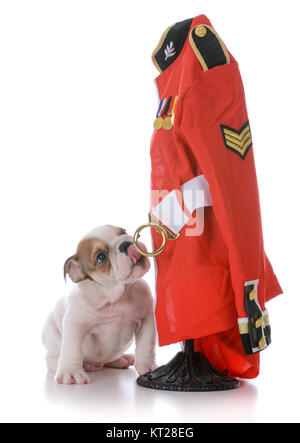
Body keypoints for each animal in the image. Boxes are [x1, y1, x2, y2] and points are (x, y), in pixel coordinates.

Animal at [43, 225, 158, 386]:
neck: (116, 294)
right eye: (101, 257)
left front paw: (147, 366)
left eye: (124, 232)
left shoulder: (146, 319)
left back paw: (120, 359)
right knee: (53, 358)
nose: (125, 244)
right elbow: (72, 348)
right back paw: (80, 365)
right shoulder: (75, 323)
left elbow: (146, 344)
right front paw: (70, 372)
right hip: (51, 334)